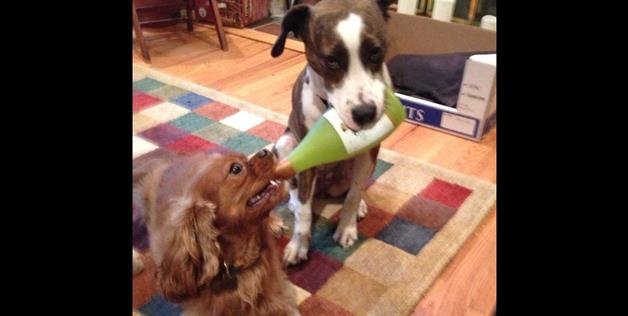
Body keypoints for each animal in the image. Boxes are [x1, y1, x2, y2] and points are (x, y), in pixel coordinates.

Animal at [272, 0, 390, 264]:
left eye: (375, 52)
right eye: (331, 60)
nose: (366, 113)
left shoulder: (369, 153)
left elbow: (353, 195)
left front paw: (346, 228)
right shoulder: (306, 156)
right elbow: (305, 214)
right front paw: (299, 245)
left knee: (353, 188)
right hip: (285, 143)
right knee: (295, 190)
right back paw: (294, 203)